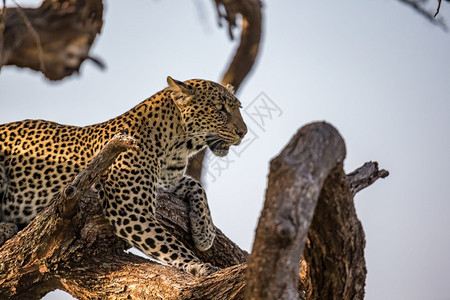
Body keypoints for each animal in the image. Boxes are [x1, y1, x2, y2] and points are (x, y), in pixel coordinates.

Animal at [0, 77, 246, 276]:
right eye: (220, 109)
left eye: (238, 107)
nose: (243, 132)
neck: (176, 147)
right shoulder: (132, 212)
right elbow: (170, 245)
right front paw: (199, 265)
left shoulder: (167, 182)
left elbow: (196, 185)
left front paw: (204, 233)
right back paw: (6, 227)